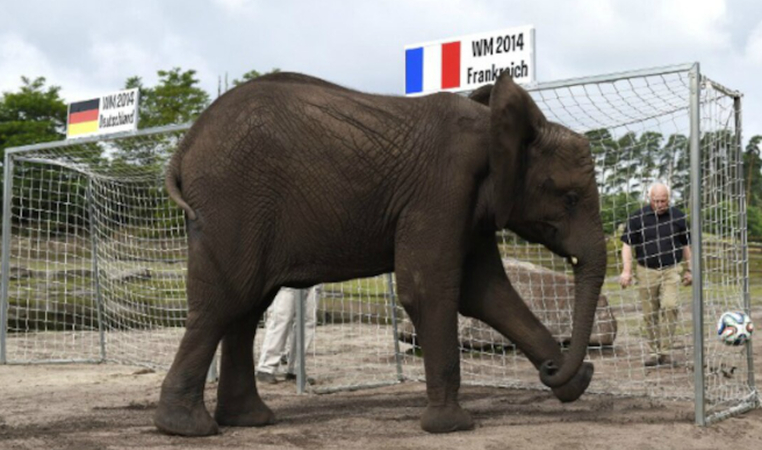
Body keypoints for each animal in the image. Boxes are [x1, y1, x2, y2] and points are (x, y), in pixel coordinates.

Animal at [155, 71, 607, 436]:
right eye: (569, 199)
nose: (555, 369)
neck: (492, 127)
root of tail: (185, 145)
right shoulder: (442, 189)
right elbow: (429, 289)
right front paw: (452, 427)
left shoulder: (471, 206)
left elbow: (486, 292)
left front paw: (577, 385)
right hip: (233, 201)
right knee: (226, 301)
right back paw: (187, 428)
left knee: (246, 307)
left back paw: (249, 420)